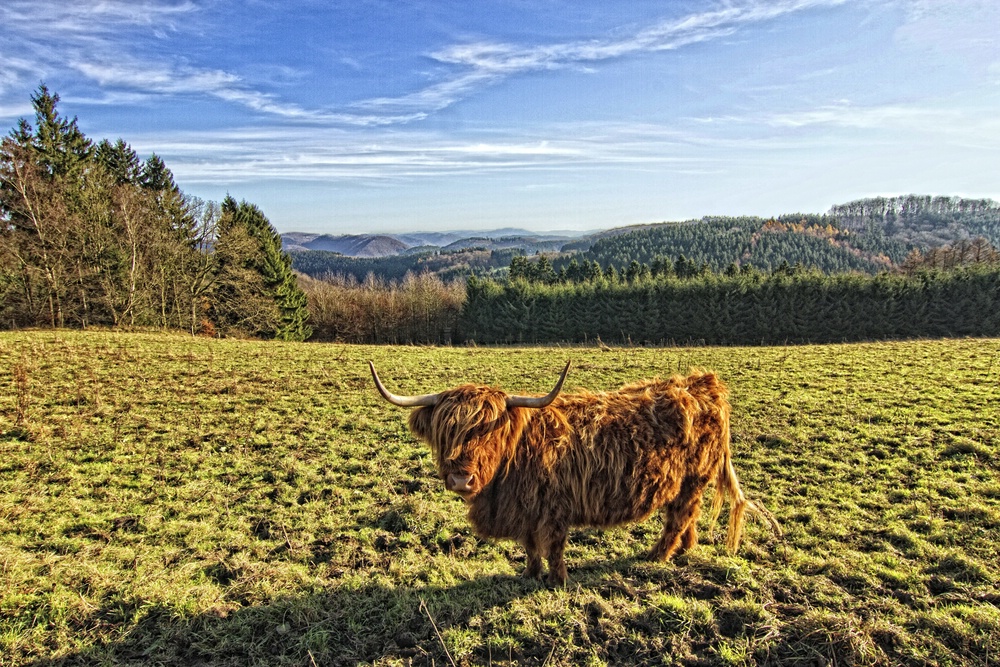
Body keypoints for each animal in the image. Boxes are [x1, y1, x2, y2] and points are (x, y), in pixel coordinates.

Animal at [370, 360, 780, 584]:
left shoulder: (553, 510)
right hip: (682, 483)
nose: (460, 478)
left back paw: (657, 556)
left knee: (678, 518)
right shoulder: (527, 510)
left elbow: (553, 548)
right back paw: (683, 551)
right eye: (445, 431)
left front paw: (557, 580)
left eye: (490, 431)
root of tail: (703, 383)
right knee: (684, 516)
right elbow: (530, 546)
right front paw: (529, 575)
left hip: (695, 478)